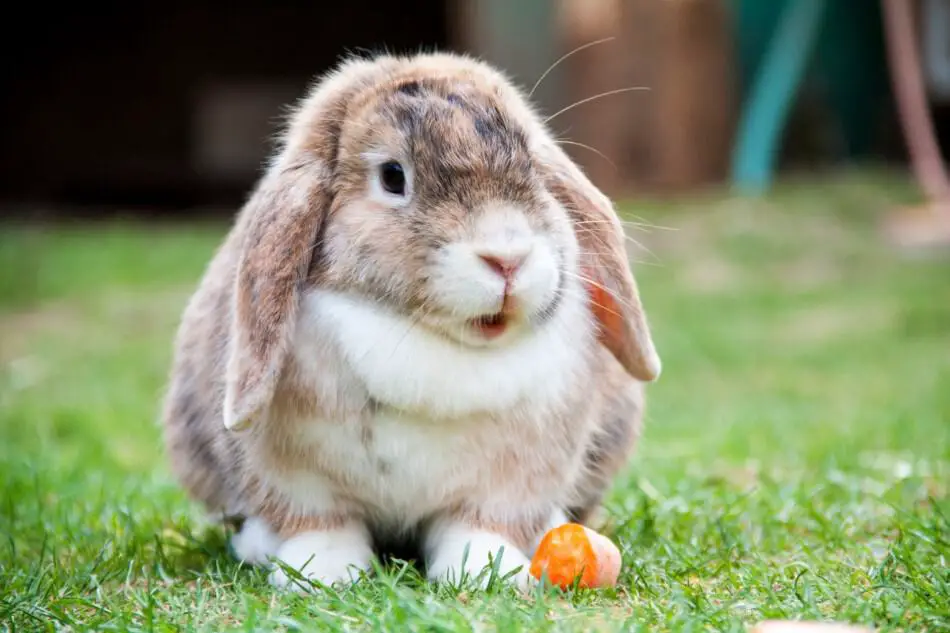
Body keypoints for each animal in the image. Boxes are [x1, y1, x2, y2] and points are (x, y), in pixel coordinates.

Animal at [162, 50, 660, 592]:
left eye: (532, 165)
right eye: (392, 177)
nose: (507, 258)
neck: (430, 340)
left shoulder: (511, 483)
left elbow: (479, 526)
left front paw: (487, 573)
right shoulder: (296, 480)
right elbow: (320, 524)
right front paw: (322, 574)